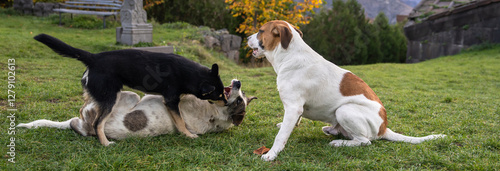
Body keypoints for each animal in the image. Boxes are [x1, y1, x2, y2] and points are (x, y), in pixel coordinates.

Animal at [36, 34, 228, 146]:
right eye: (218, 95)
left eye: (223, 93)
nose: (226, 103)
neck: (189, 74)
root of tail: (93, 57)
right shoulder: (171, 101)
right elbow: (180, 121)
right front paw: (188, 135)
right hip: (110, 98)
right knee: (98, 123)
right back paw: (105, 143)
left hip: (98, 94)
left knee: (84, 109)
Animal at [246, 20, 446, 161]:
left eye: (260, 31)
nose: (247, 38)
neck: (289, 55)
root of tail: (384, 128)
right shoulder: (296, 109)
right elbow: (292, 123)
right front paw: (286, 126)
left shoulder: (294, 107)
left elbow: (281, 137)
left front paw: (271, 154)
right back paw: (332, 130)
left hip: (345, 110)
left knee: (364, 141)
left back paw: (339, 142)